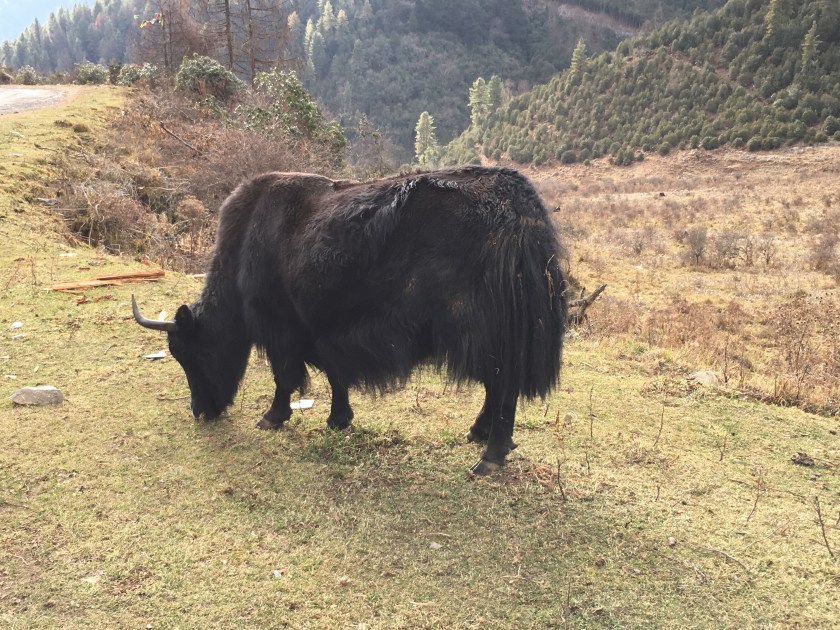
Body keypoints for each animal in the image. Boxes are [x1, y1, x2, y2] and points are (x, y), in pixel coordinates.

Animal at [132, 166, 568, 474]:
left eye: (195, 354)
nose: (201, 411)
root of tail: (522, 209)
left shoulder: (280, 327)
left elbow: (284, 377)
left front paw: (272, 418)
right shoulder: (321, 329)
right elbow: (333, 374)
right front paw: (338, 419)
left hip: (484, 331)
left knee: (503, 386)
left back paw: (490, 455)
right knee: (497, 387)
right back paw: (480, 434)